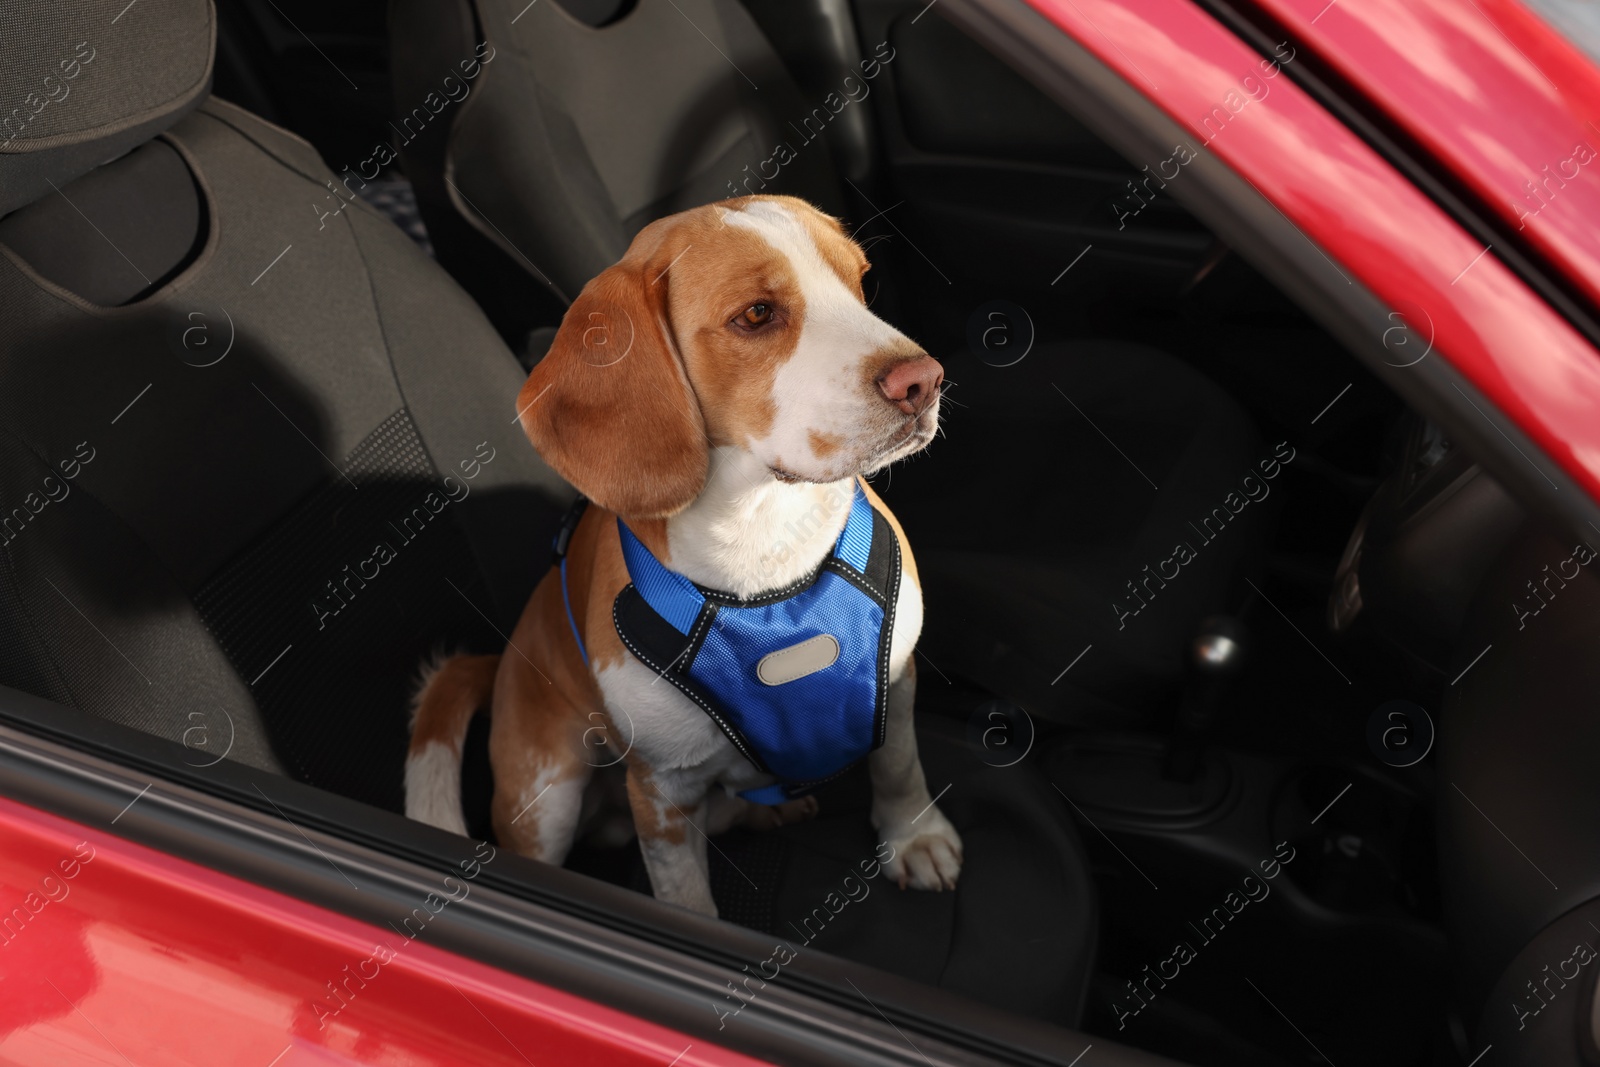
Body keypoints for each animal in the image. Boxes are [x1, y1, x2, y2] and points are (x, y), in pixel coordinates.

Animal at [409, 195, 960, 915]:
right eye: (756, 315)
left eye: (859, 281)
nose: (924, 381)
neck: (761, 549)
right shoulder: (663, 790)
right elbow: (685, 894)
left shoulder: (893, 681)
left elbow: (898, 764)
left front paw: (913, 836)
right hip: (546, 797)